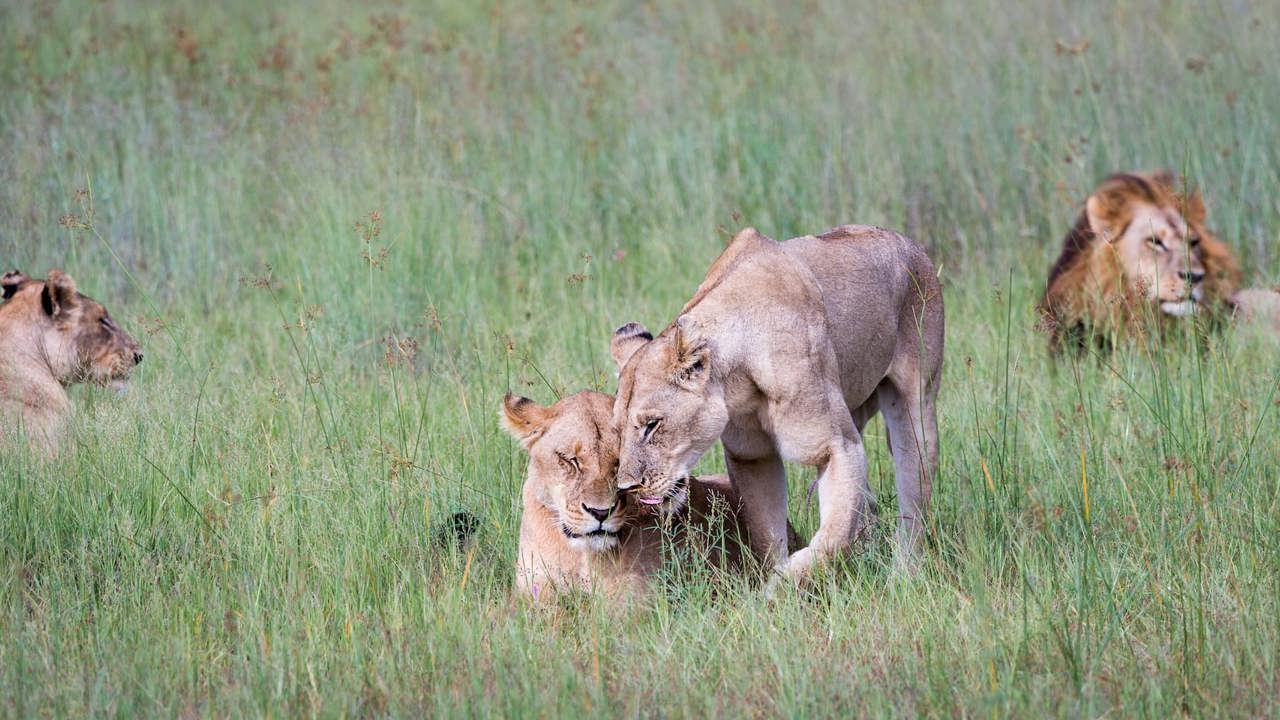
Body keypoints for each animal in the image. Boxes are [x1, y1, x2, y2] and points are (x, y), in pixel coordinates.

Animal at [500, 390, 796, 603]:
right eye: (570, 460)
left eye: (619, 463)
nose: (600, 513)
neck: (580, 555)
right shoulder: (532, 592)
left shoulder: (634, 605)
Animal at [610, 225, 945, 584]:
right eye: (618, 431)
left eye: (652, 425)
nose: (627, 487)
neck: (737, 378)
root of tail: (911, 244)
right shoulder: (752, 456)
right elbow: (767, 535)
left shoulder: (835, 446)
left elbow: (832, 538)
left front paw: (781, 585)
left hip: (916, 407)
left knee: (914, 498)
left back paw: (904, 574)